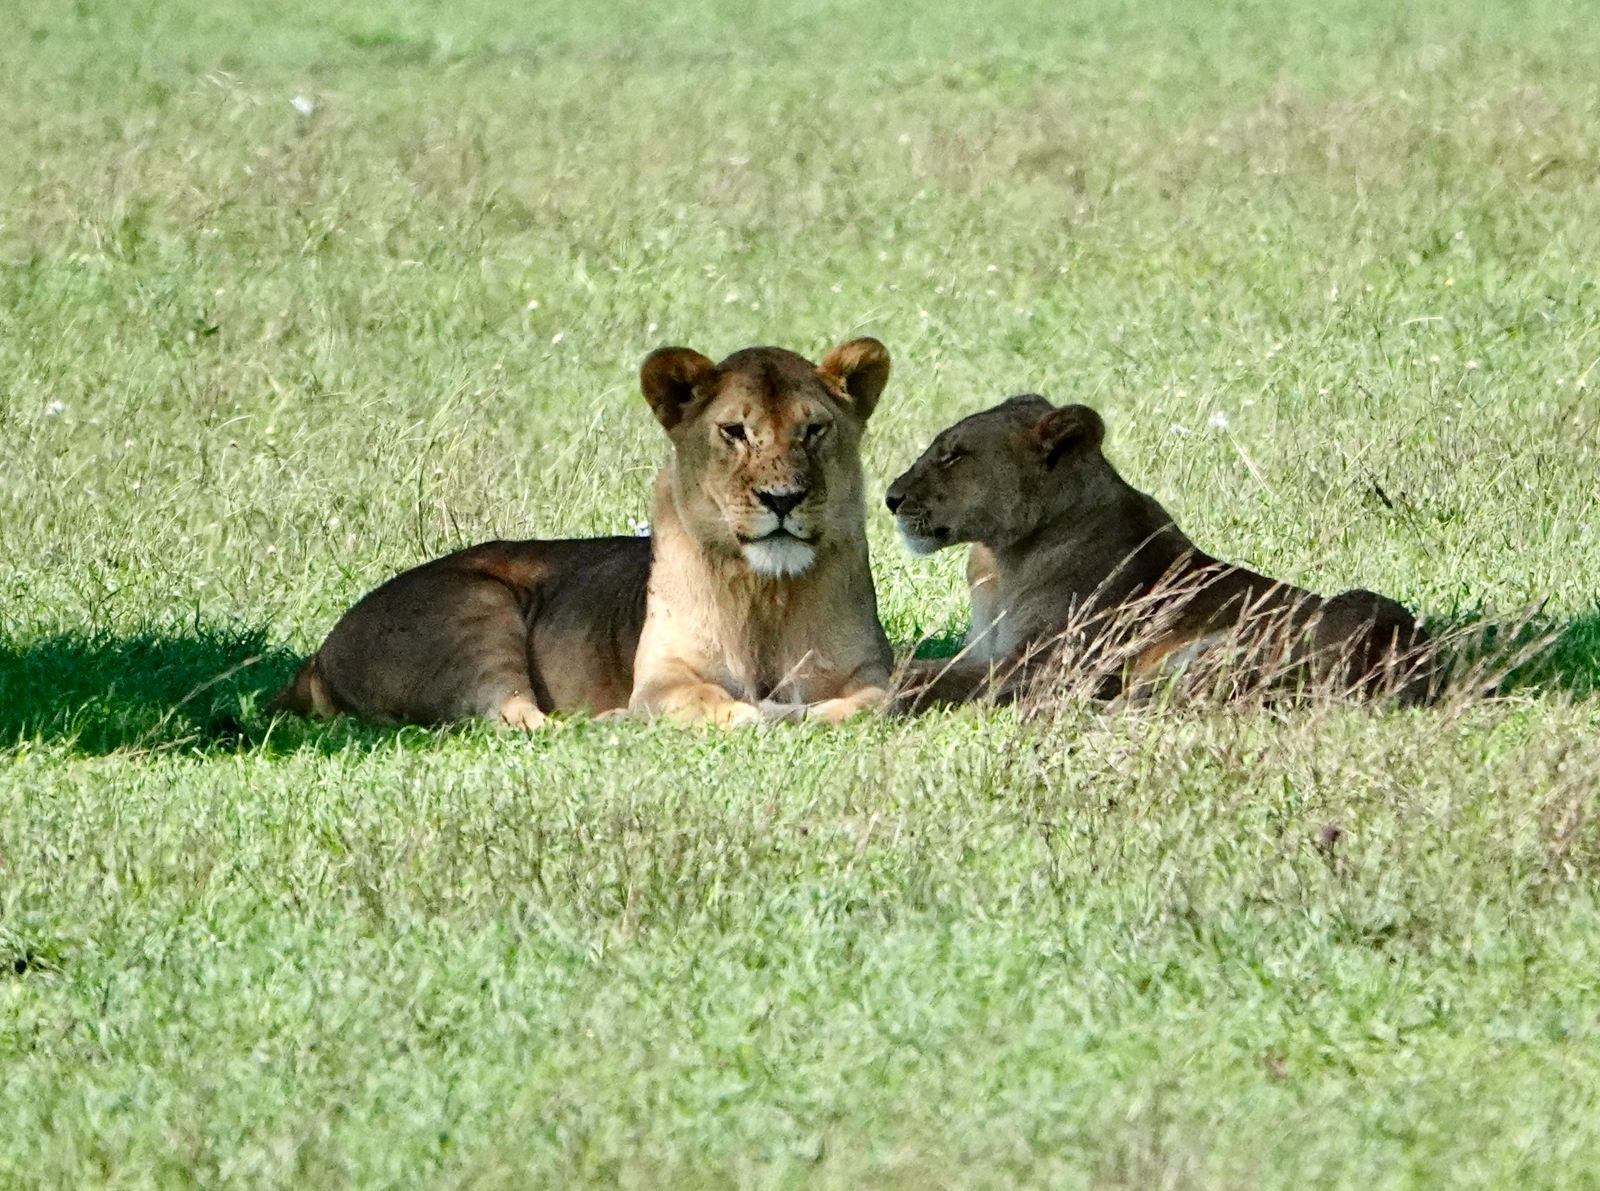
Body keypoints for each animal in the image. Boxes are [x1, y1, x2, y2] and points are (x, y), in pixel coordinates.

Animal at [266, 338, 893, 729]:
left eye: (814, 430)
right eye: (735, 432)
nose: (782, 499)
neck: (768, 591)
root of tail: (319, 653)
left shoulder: (873, 672)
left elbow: (871, 704)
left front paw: (799, 713)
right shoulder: (663, 678)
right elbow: (714, 702)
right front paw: (759, 714)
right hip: (476, 608)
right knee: (516, 722)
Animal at [883, 395, 1435, 709]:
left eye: (953, 456)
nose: (890, 498)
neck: (999, 560)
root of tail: (1418, 669)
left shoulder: (1044, 665)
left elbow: (933, 678)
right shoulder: (987, 651)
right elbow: (927, 663)